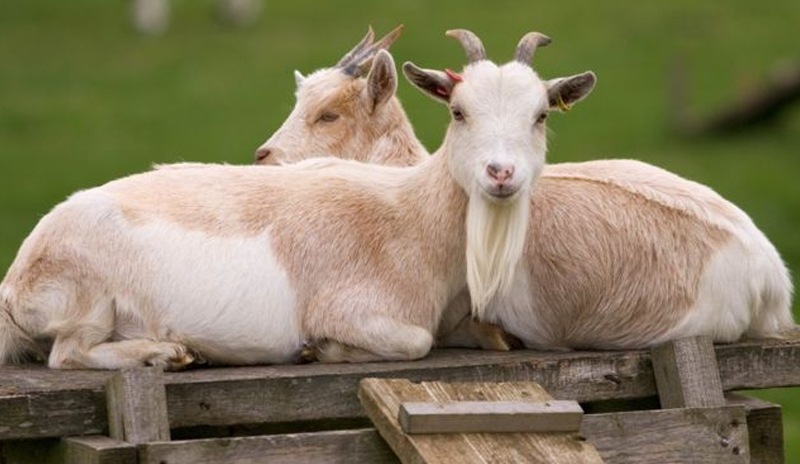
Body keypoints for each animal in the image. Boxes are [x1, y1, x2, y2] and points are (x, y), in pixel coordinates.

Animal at [1, 29, 592, 370]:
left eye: (541, 115)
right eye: (458, 111)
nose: (500, 173)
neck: (412, 215)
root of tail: (16, 282)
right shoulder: (359, 309)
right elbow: (414, 343)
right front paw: (319, 348)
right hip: (88, 300)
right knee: (67, 354)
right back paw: (167, 352)